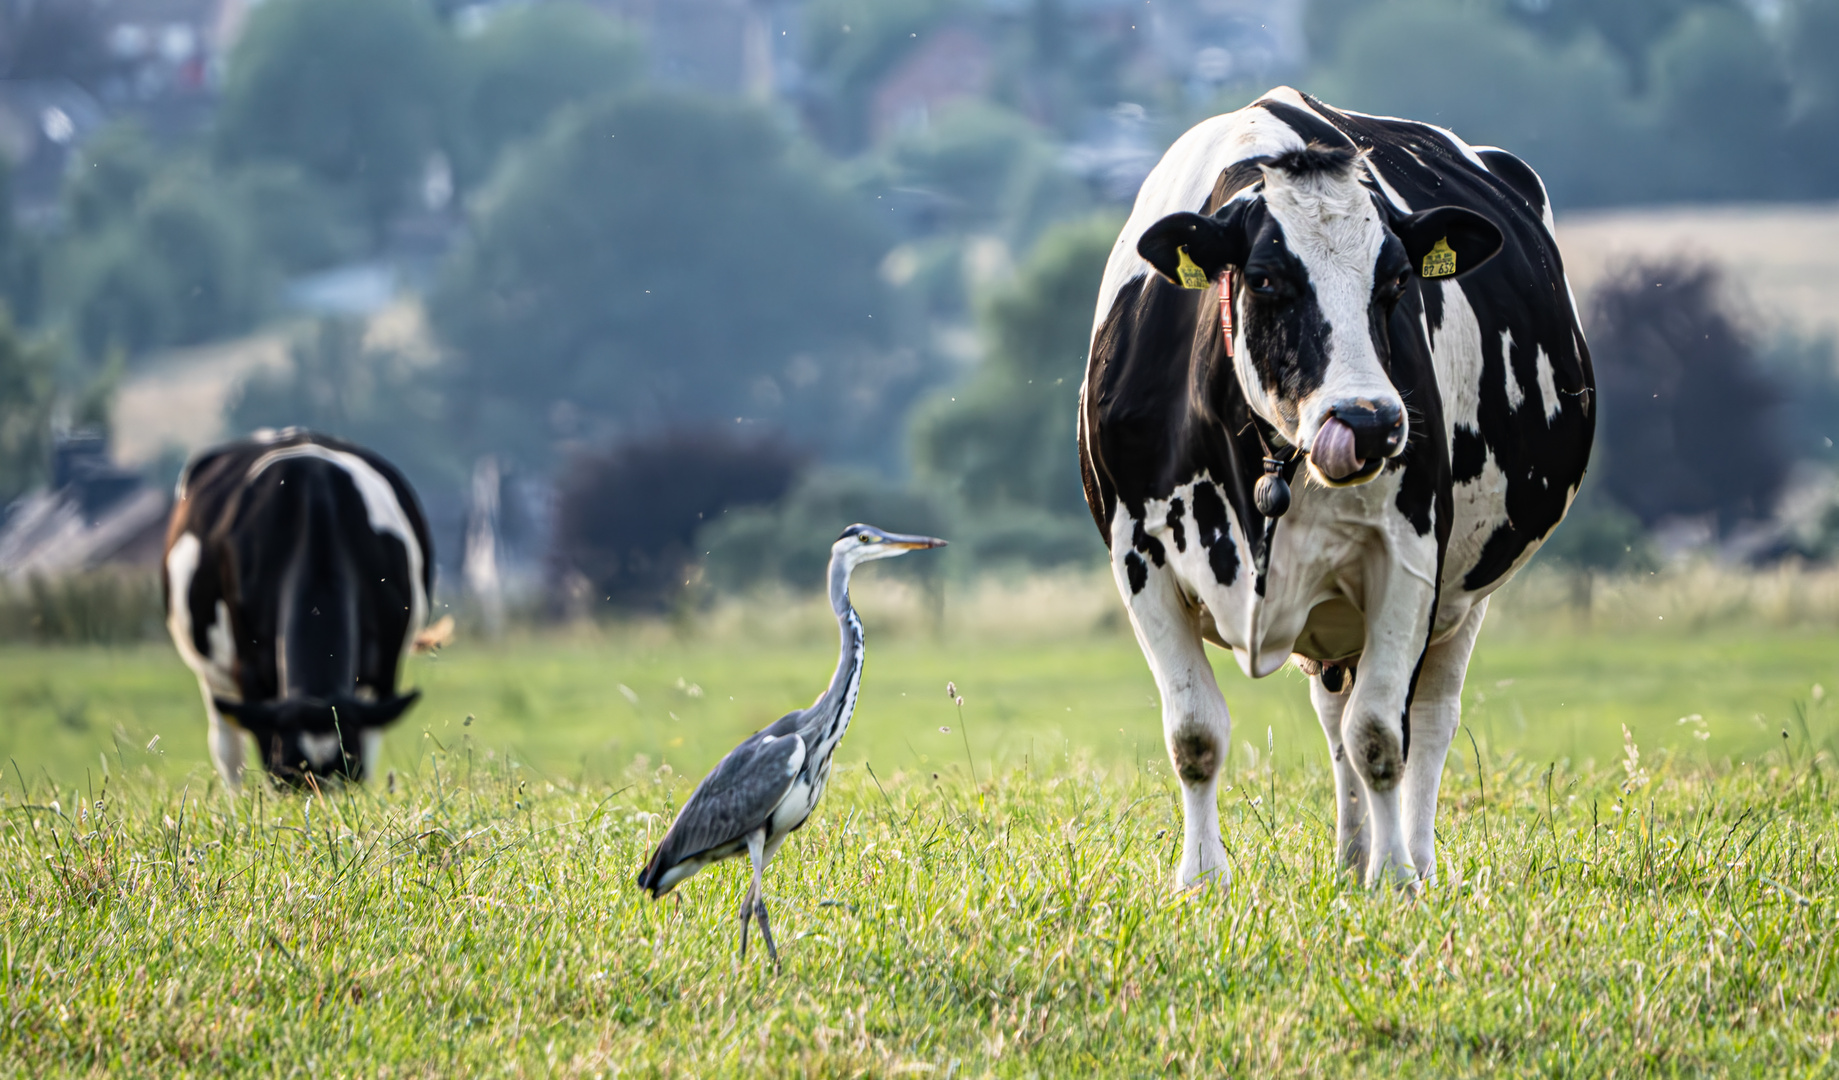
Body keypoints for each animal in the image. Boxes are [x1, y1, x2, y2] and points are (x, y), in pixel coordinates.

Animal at [162, 428, 434, 787]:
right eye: (287, 777)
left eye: (348, 773)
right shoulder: (250, 674)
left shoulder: (384, 672)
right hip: (213, 678)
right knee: (227, 751)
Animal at [1073, 88, 1596, 886]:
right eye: (1264, 279)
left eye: (1398, 282)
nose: (1369, 421)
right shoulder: (1141, 557)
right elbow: (1195, 735)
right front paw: (1200, 878)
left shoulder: (1409, 557)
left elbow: (1380, 735)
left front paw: (1396, 879)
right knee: (1333, 716)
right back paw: (1350, 858)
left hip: (1467, 588)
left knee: (1426, 720)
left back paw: (1410, 859)